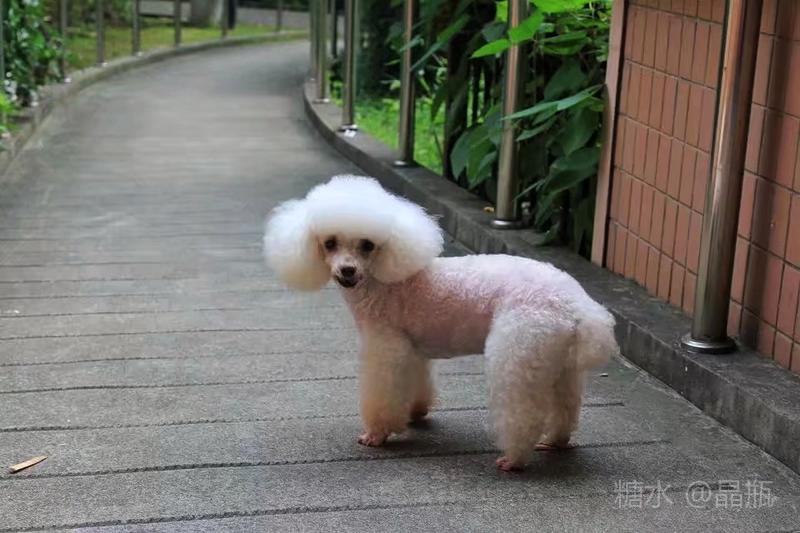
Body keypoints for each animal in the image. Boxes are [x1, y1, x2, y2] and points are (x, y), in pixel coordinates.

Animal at [263, 175, 618, 471]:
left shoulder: (385, 346)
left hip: (519, 350)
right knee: (566, 405)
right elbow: (415, 381)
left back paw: (514, 459)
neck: (382, 281)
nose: (347, 271)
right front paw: (415, 412)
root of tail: (575, 302)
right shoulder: (411, 349)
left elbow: (383, 393)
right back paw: (556, 441)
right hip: (558, 360)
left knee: (522, 412)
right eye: (330, 243)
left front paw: (377, 434)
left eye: (367, 245)